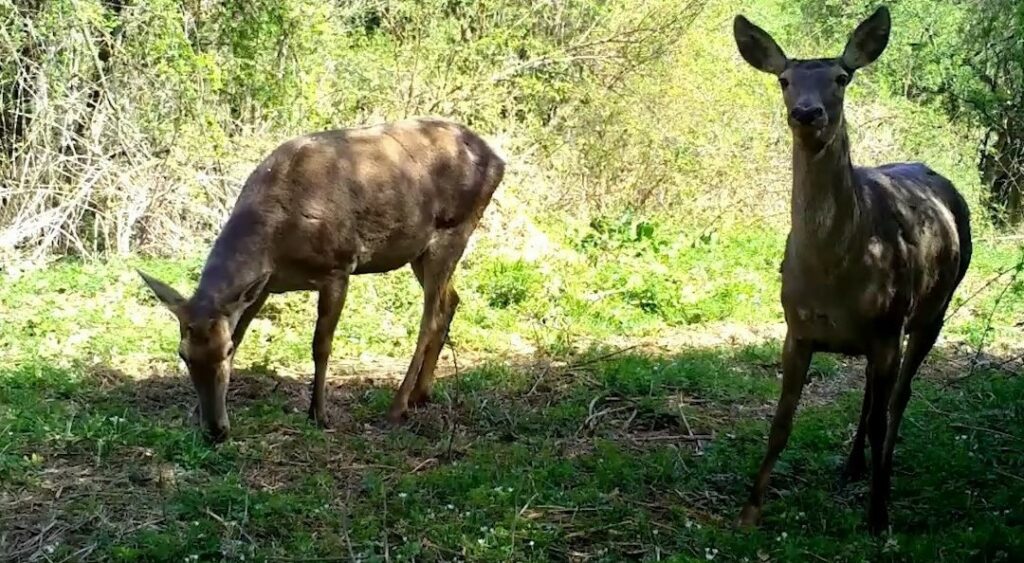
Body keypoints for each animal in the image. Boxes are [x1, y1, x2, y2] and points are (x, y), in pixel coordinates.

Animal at [136, 120, 503, 446]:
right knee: (451, 300)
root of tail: (498, 159)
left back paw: (398, 405)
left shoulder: (337, 268)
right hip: (420, 251)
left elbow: (320, 345)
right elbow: (241, 332)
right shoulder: (262, 287)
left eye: (223, 351)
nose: (215, 431)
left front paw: (318, 413)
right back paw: (421, 394)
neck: (276, 242)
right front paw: (196, 415)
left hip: (455, 228)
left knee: (429, 318)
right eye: (182, 354)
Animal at [733, 6, 970, 536]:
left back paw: (882, 475)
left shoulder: (889, 325)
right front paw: (750, 510)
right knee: (871, 393)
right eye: (784, 79)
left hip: (933, 309)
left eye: (841, 77)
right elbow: (781, 422)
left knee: (898, 398)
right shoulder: (797, 328)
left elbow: (884, 415)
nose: (807, 113)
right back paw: (853, 464)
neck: (833, 275)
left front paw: (878, 517)